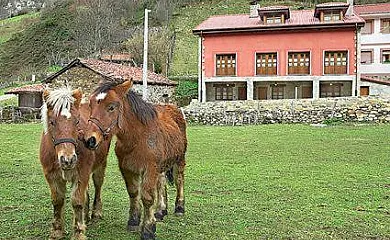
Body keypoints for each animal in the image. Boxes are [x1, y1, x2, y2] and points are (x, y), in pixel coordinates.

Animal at [39, 88, 111, 240]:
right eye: (52, 122)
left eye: (77, 121)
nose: (68, 159)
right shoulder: (51, 177)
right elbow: (57, 201)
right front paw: (57, 231)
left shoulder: (81, 174)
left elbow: (77, 201)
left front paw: (78, 232)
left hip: (101, 163)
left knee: (98, 184)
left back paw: (96, 213)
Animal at [83, 79, 187, 239]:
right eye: (91, 105)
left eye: (111, 107)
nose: (90, 140)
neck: (137, 138)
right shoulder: (127, 169)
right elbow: (133, 193)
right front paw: (134, 220)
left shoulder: (149, 169)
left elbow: (147, 198)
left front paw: (148, 229)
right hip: (162, 166)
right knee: (161, 183)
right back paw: (161, 210)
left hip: (179, 159)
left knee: (179, 180)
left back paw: (179, 207)